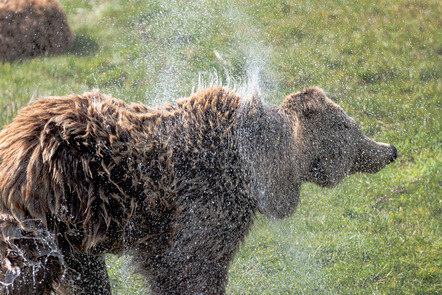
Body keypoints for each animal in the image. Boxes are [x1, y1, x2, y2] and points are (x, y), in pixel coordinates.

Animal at [0, 86, 396, 294]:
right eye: (351, 128)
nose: (389, 150)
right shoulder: (205, 200)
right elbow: (191, 266)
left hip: (70, 234)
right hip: (45, 212)